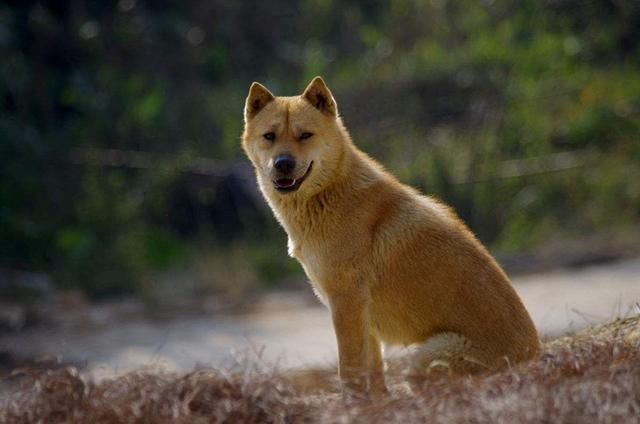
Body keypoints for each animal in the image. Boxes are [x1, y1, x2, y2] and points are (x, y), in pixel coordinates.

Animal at [241, 77, 540, 398]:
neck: (331, 193)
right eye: (269, 136)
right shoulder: (363, 319)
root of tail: (535, 358)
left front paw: (351, 403)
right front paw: (376, 402)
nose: (283, 163)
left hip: (423, 360)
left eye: (305, 135)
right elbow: (372, 371)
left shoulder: (346, 305)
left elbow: (349, 368)